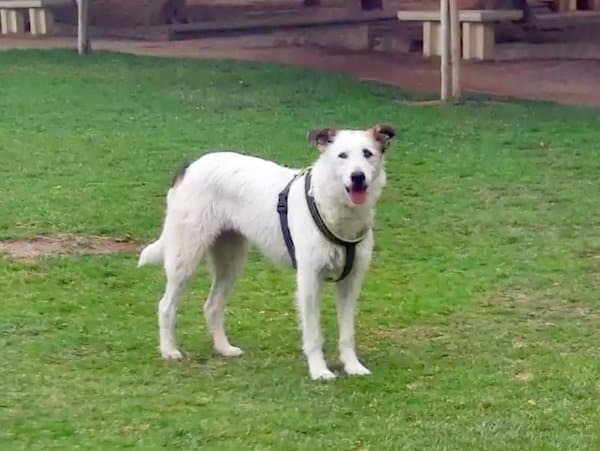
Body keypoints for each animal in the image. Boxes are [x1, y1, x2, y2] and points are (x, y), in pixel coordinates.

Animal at [138, 124, 396, 382]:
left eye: (368, 154)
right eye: (342, 155)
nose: (358, 177)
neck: (331, 206)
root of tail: (190, 166)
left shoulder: (350, 283)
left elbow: (347, 333)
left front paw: (353, 366)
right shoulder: (309, 282)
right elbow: (313, 335)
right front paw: (319, 370)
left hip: (230, 263)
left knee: (212, 306)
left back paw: (224, 349)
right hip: (186, 257)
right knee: (166, 306)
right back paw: (169, 350)